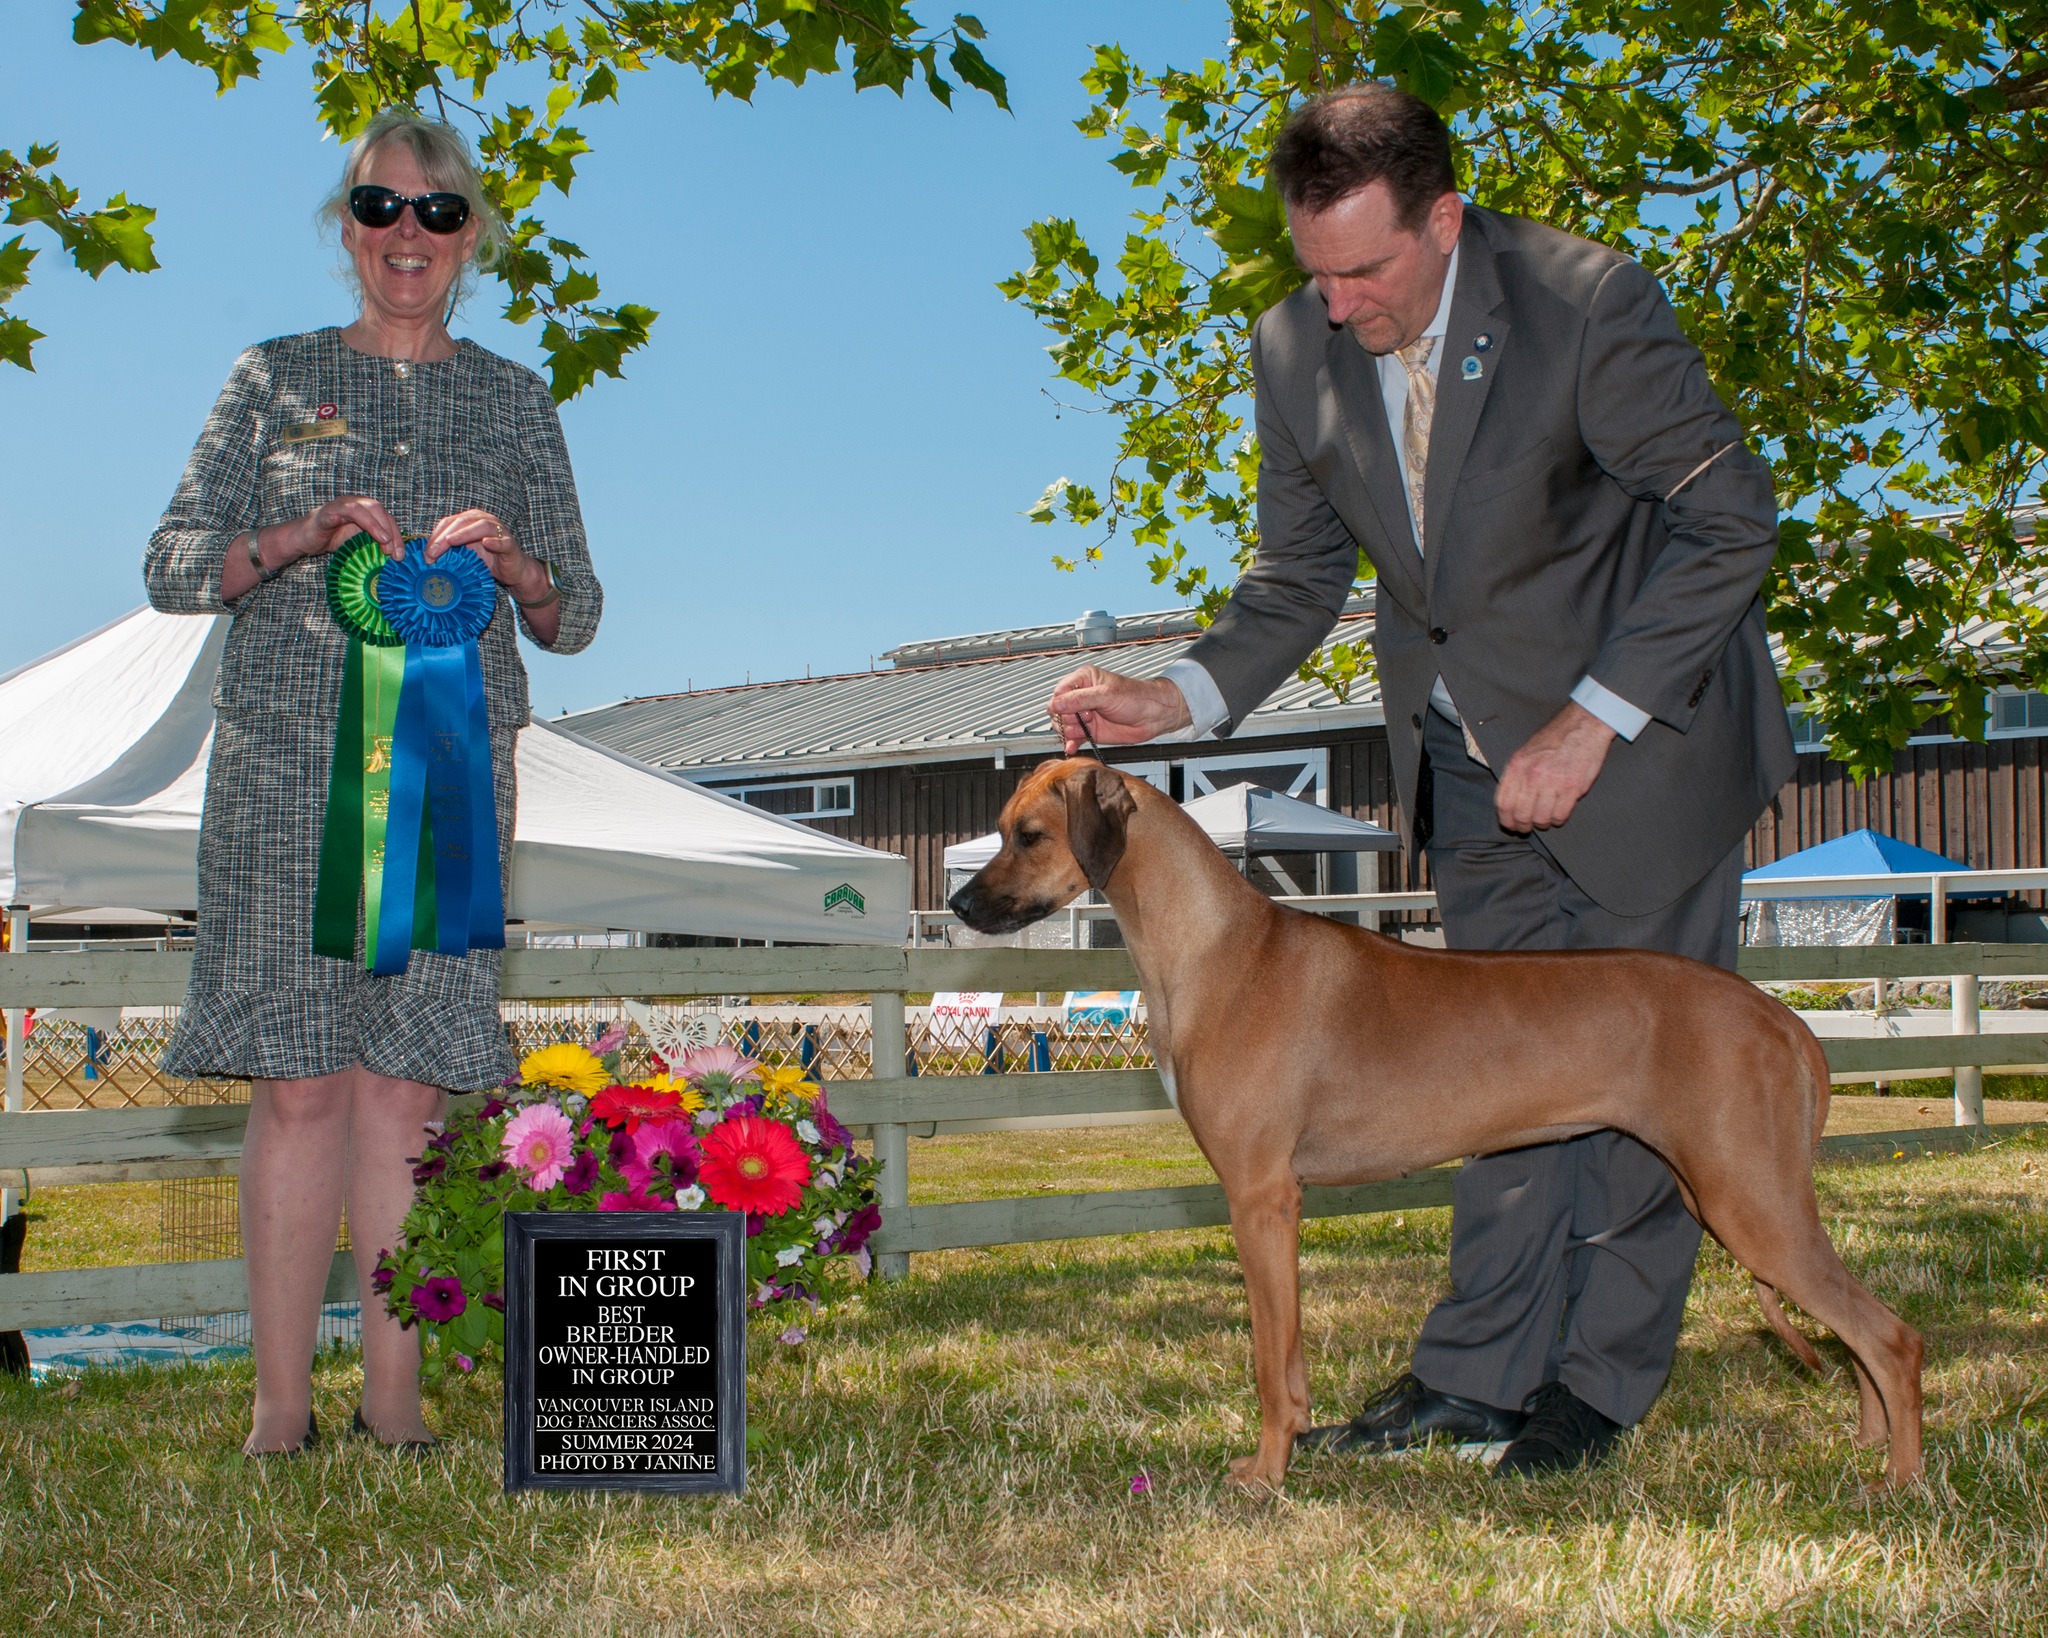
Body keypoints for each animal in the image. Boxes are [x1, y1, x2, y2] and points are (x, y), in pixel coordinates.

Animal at [946, 761, 1916, 1490]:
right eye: (1000, 829)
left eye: (1028, 835)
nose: (957, 908)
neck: (1217, 946)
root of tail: (1780, 1015)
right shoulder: (1275, 1205)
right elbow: (1289, 1364)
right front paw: (1300, 1446)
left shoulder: (1260, 1197)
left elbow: (1267, 1360)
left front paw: (1265, 1475)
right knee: (1860, 1332)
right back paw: (1868, 1447)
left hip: (1748, 1201)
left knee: (1890, 1336)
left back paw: (1900, 1482)